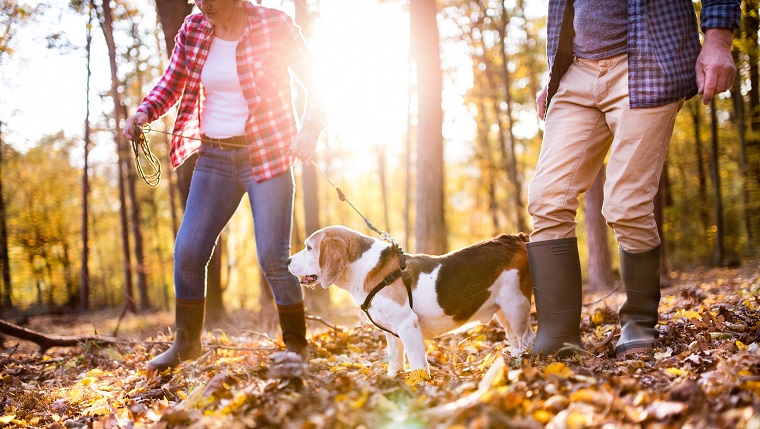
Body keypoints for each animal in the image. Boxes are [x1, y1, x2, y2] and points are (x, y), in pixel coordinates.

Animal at [288, 226, 536, 376]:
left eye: (309, 247)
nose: (288, 259)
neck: (364, 268)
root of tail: (514, 238)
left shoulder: (408, 325)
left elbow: (417, 362)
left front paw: (419, 384)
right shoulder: (391, 332)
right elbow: (396, 360)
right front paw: (393, 379)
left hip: (516, 305)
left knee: (527, 337)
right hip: (503, 311)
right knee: (515, 338)